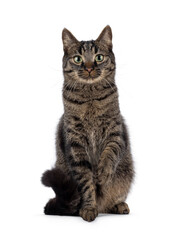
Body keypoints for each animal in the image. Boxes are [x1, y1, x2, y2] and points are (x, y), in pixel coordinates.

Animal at [41, 25, 134, 221]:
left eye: (99, 57)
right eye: (78, 58)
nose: (90, 68)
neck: (90, 97)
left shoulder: (116, 133)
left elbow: (110, 153)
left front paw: (103, 172)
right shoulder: (75, 144)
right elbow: (85, 182)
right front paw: (89, 208)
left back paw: (118, 205)